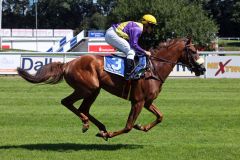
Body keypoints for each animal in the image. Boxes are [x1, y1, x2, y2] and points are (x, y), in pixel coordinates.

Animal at [16, 37, 205, 140]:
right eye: (193, 51)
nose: (202, 69)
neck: (153, 69)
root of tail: (67, 63)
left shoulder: (147, 102)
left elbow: (160, 116)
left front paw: (142, 127)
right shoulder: (137, 101)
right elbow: (128, 126)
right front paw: (111, 134)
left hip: (94, 90)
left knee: (83, 108)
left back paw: (98, 126)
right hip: (88, 88)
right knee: (67, 102)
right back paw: (89, 124)